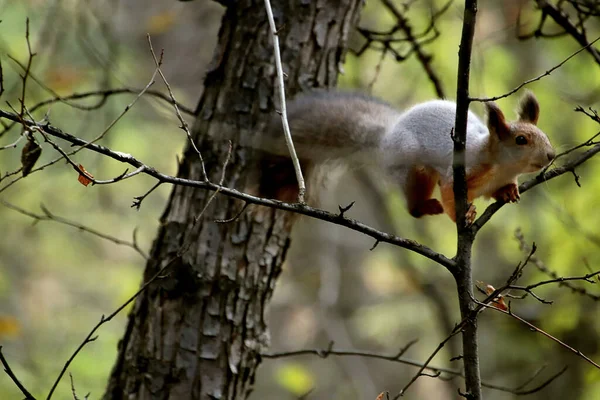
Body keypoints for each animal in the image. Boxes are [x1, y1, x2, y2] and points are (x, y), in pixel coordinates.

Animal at [260, 90, 556, 222]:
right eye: (521, 140)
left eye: (545, 135)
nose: (551, 155)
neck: (502, 167)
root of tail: (386, 139)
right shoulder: (461, 171)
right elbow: (449, 192)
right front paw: (461, 215)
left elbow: (500, 190)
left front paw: (509, 191)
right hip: (414, 169)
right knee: (412, 206)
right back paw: (425, 206)